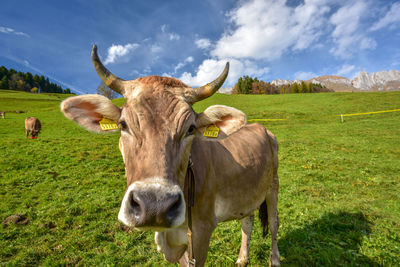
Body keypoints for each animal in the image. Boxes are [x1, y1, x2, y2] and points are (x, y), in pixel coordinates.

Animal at [60, 46, 282, 267]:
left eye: (190, 128)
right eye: (123, 124)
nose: (155, 206)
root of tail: (260, 127)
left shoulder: (202, 230)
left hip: (273, 185)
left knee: (273, 223)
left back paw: (274, 259)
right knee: (247, 221)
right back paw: (242, 258)